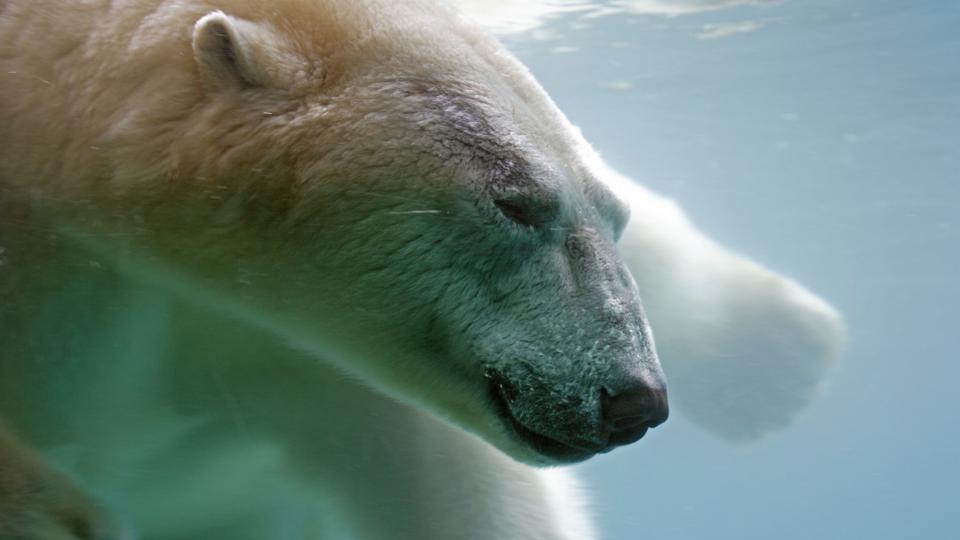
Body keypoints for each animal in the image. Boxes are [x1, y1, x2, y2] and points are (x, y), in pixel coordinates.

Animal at [0, 0, 842, 538]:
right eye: (516, 204)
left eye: (613, 218)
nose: (634, 401)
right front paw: (63, 518)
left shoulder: (285, 348)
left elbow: (465, 493)